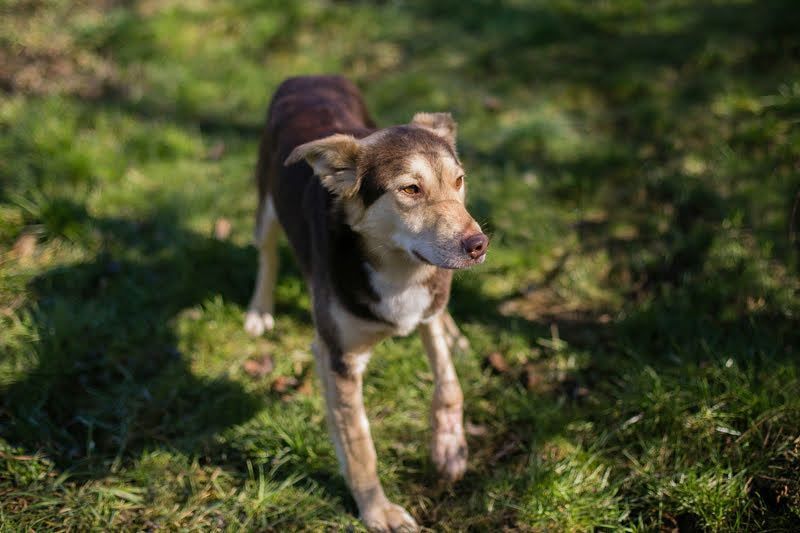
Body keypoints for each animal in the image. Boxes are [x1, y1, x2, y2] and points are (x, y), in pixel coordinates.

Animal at [244, 75, 488, 532]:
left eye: (459, 181)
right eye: (410, 189)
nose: (479, 244)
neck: (398, 267)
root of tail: (308, 76)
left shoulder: (427, 305)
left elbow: (449, 384)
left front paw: (449, 450)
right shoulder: (339, 358)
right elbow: (359, 447)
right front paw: (378, 512)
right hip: (267, 200)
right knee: (266, 254)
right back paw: (260, 310)